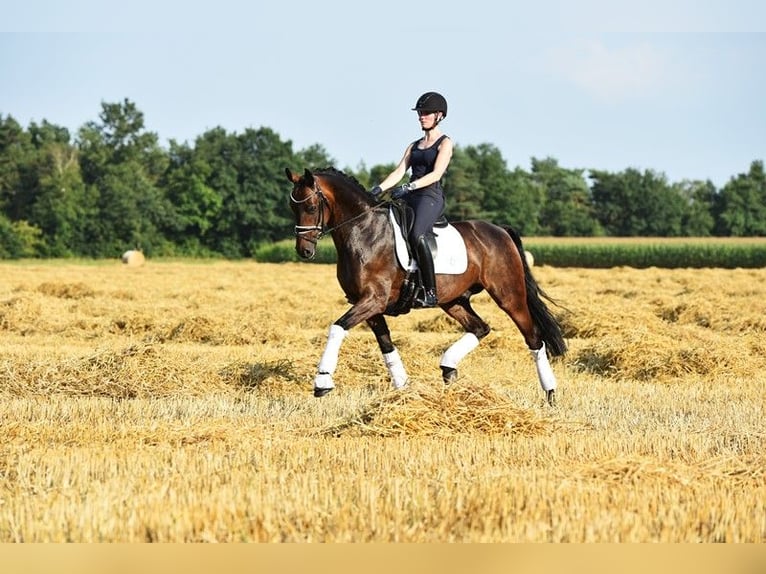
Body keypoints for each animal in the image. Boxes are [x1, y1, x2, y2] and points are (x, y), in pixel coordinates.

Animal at [284, 166, 568, 404]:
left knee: (533, 337)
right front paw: (403, 389)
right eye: (292, 206)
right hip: (453, 301)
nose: (304, 251)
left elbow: (336, 328)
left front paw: (322, 381)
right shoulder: (368, 306)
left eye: (311, 206)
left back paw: (550, 394)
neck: (364, 231)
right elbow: (386, 346)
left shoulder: (373, 300)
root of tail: (499, 230)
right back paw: (448, 368)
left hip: (509, 296)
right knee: (480, 328)